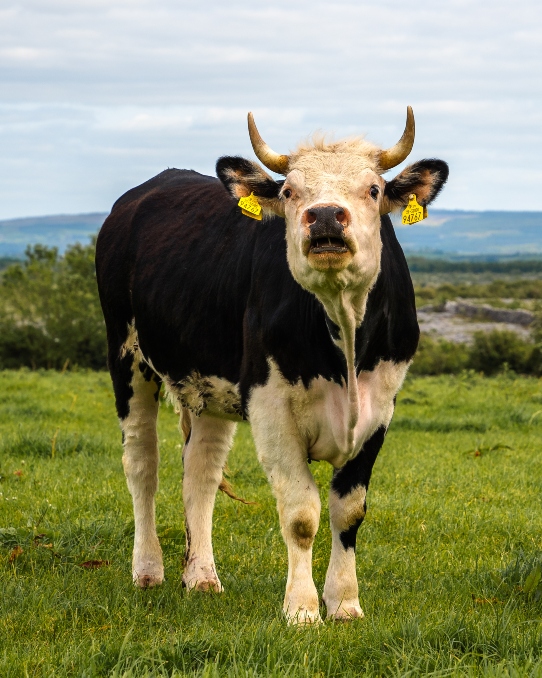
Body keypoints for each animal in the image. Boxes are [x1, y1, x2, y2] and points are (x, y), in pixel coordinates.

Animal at [95, 110, 448, 628]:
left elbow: (349, 512)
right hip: (126, 357)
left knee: (200, 470)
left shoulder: (380, 409)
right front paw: (301, 609)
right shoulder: (270, 408)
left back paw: (201, 576)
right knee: (142, 464)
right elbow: (301, 515)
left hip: (209, 387)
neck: (343, 338)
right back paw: (148, 569)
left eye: (373, 189)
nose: (325, 215)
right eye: (289, 192)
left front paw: (345, 603)